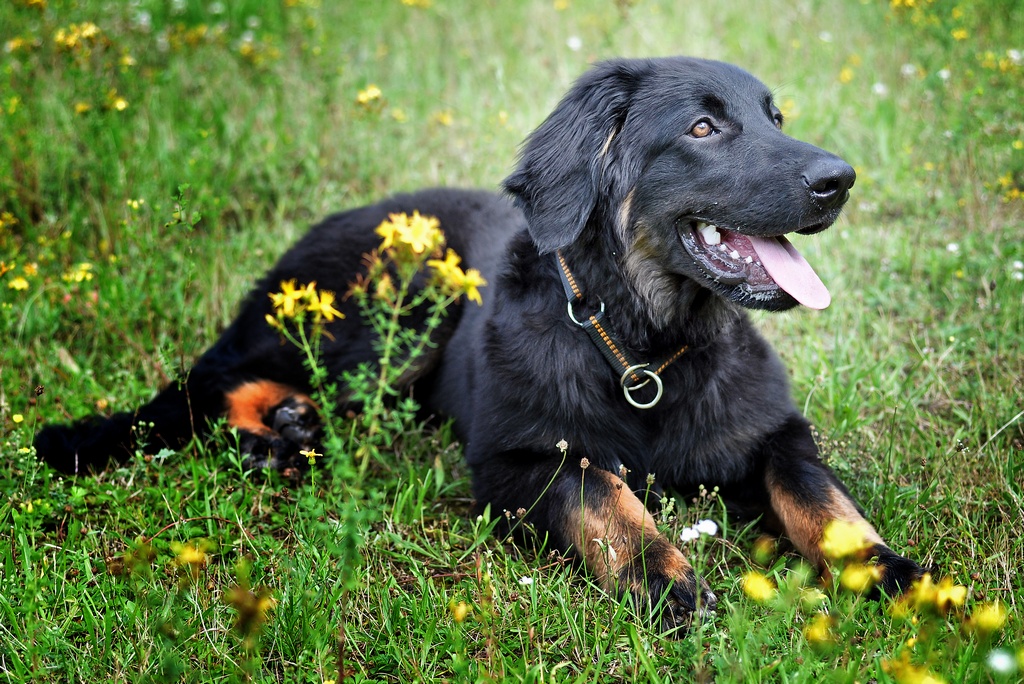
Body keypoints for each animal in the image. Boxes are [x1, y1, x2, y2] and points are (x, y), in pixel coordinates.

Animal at [36, 56, 925, 626]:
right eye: (704, 127)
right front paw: (665, 581)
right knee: (211, 378)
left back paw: (287, 432)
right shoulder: (516, 461)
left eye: (776, 118)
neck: (639, 351)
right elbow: (608, 497)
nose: (840, 181)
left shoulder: (775, 434)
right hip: (394, 315)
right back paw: (273, 434)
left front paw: (887, 571)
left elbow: (821, 499)